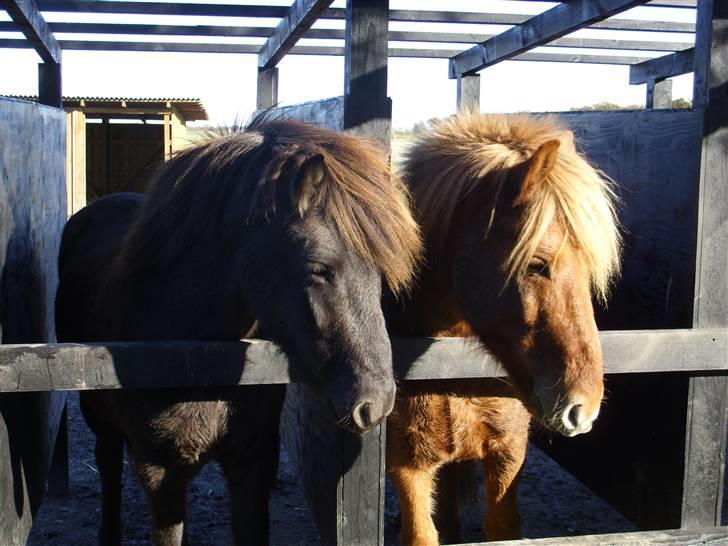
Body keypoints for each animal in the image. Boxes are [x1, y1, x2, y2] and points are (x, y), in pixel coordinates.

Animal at [386, 112, 620, 540]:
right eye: (537, 264)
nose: (583, 411)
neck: (451, 371)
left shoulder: (508, 453)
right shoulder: (409, 466)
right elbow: (422, 533)